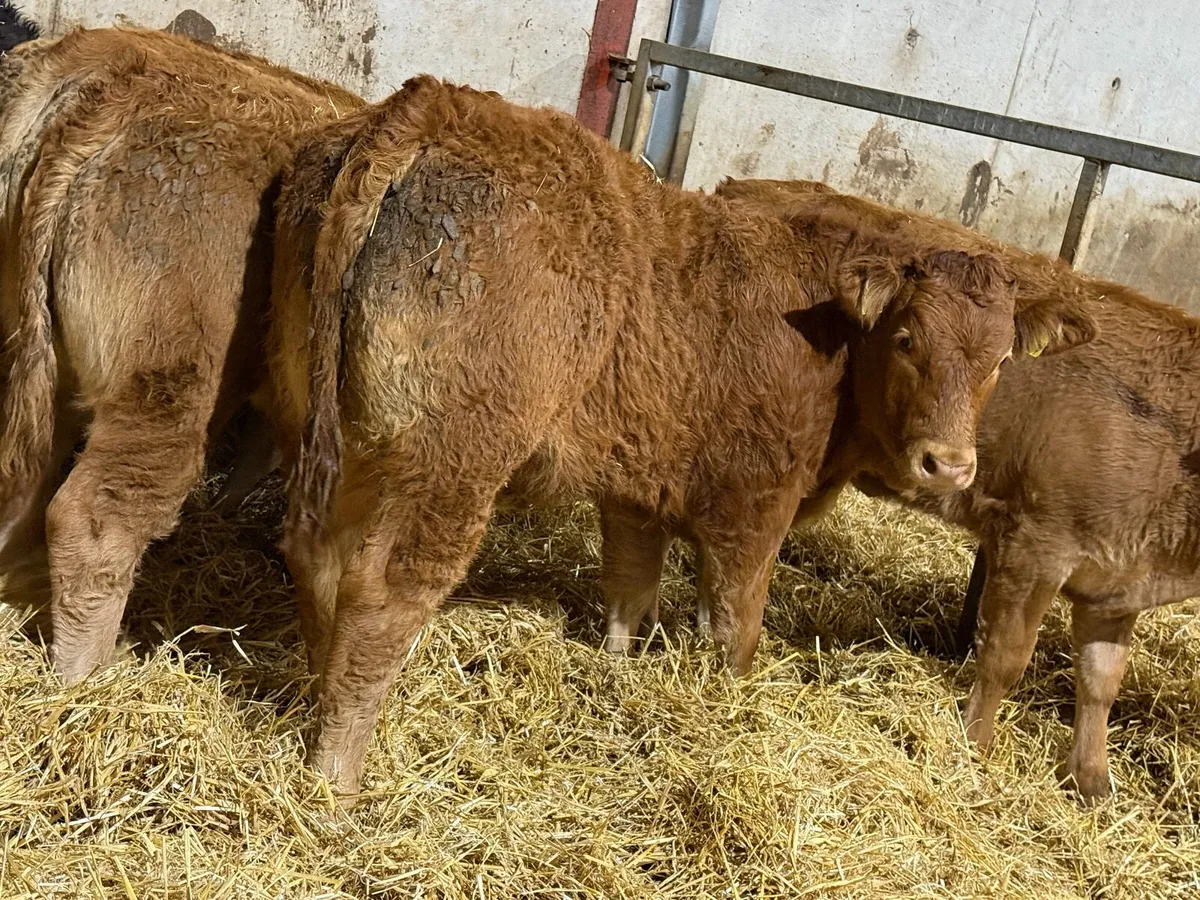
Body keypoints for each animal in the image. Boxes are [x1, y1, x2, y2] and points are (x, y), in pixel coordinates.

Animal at [266, 75, 1093, 799]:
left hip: (348, 435)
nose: (948, 465)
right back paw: (336, 776)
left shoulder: (637, 489)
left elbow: (632, 595)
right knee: (383, 591)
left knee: (318, 556)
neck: (828, 328)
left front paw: (616, 675)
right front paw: (727, 713)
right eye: (907, 338)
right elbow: (733, 628)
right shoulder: (753, 505)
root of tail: (438, 106)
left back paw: (311, 690)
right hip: (449, 464)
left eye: (999, 360)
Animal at [717, 175, 1200, 800]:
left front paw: (1091, 780)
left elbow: (1100, 682)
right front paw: (975, 747)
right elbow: (1004, 657)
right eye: (906, 343)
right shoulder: (1034, 546)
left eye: (1002, 360)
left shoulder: (1116, 585)